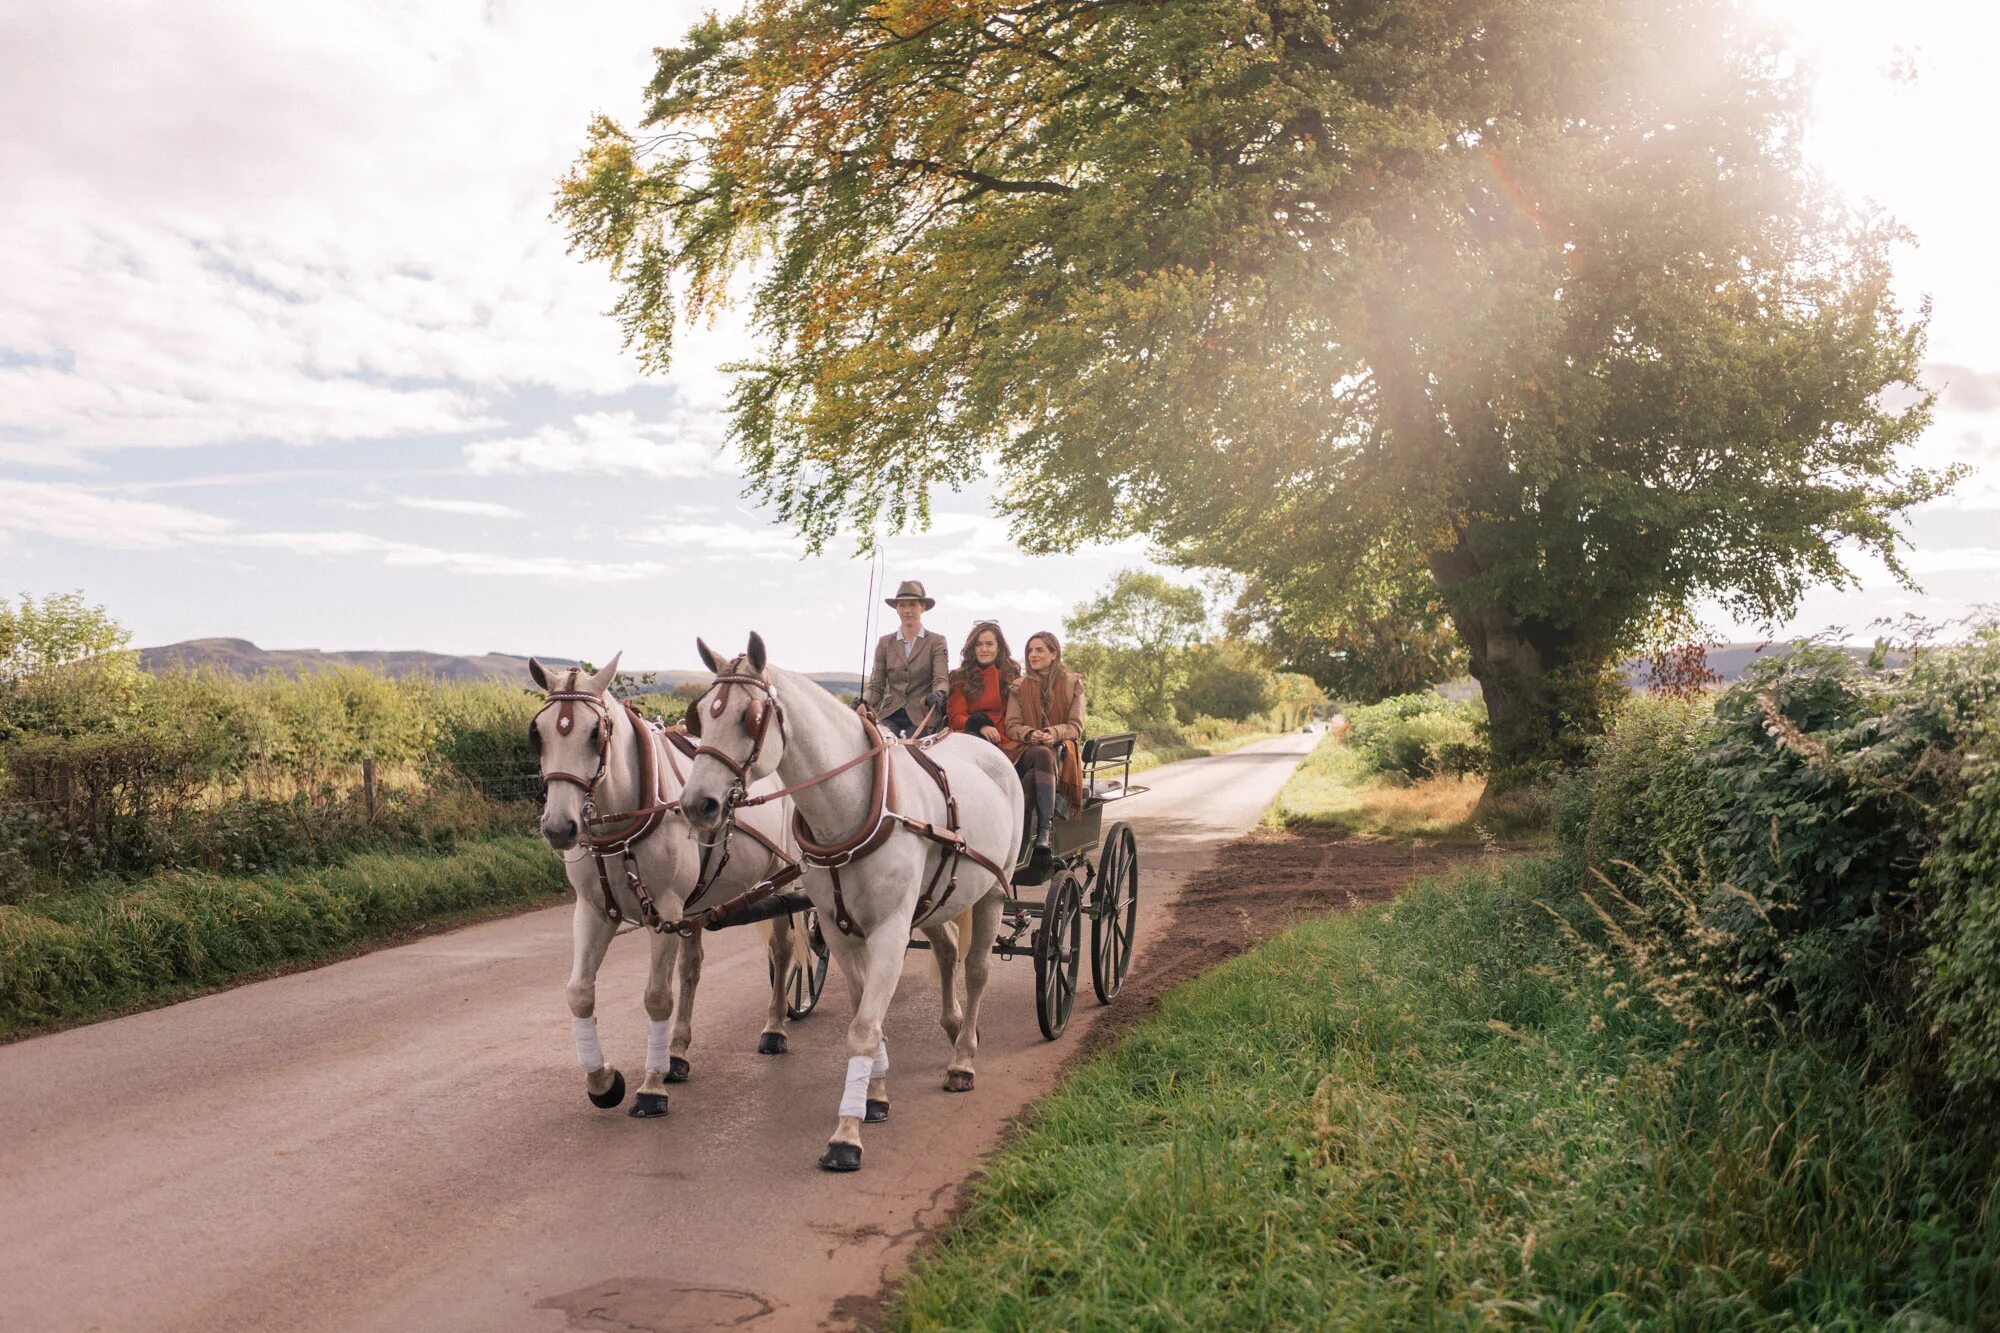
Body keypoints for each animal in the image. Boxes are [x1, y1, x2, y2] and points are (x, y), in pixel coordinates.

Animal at [536, 652, 816, 1112]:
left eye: (596, 733)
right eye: (538, 733)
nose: (560, 828)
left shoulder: (664, 909)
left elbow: (656, 997)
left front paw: (651, 1089)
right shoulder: (595, 910)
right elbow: (579, 993)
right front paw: (603, 1082)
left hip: (782, 883)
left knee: (782, 950)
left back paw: (774, 1029)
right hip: (696, 906)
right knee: (692, 968)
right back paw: (678, 1053)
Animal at [680, 632, 1024, 1160]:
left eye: (749, 717)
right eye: (701, 714)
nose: (697, 804)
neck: (850, 807)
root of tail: (988, 748)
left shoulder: (889, 931)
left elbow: (864, 1028)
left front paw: (846, 1136)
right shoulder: (840, 931)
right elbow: (867, 1012)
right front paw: (874, 1098)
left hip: (992, 890)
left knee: (977, 970)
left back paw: (963, 1059)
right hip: (934, 899)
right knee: (947, 949)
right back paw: (952, 1026)